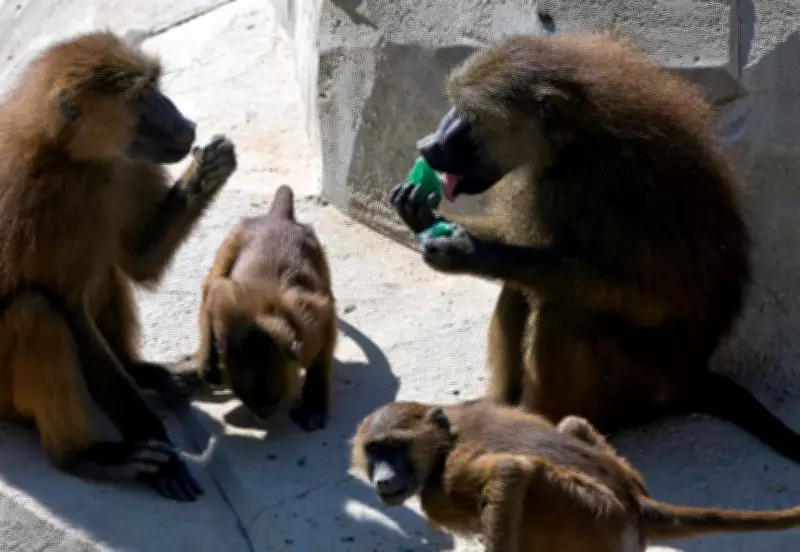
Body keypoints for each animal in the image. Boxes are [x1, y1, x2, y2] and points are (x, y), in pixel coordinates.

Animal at [0, 31, 237, 500]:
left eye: (156, 85)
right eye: (143, 97)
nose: (185, 124)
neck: (71, 157)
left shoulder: (125, 168)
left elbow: (136, 261)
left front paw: (209, 168)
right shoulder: (44, 208)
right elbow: (70, 313)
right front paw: (157, 449)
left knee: (103, 270)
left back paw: (139, 370)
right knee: (36, 312)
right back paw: (86, 456)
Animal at [174, 184, 337, 432]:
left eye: (274, 401)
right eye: (249, 401)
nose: (263, 415)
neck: (266, 313)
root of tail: (277, 218)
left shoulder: (312, 321)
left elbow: (324, 341)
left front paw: (313, 402)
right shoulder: (225, 308)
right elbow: (213, 292)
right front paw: (208, 363)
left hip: (315, 249)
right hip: (236, 236)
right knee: (216, 275)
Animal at [352, 399, 800, 552]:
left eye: (394, 447)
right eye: (374, 450)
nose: (382, 478)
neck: (445, 439)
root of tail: (636, 504)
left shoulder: (448, 480)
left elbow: (512, 470)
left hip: (592, 519)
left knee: (532, 477)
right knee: (570, 423)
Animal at [388, 32, 800, 462]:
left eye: (469, 116)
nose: (427, 145)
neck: (573, 143)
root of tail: (691, 376)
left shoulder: (595, 190)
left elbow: (646, 299)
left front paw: (468, 252)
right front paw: (419, 214)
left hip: (638, 387)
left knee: (561, 309)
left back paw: (540, 428)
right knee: (523, 287)